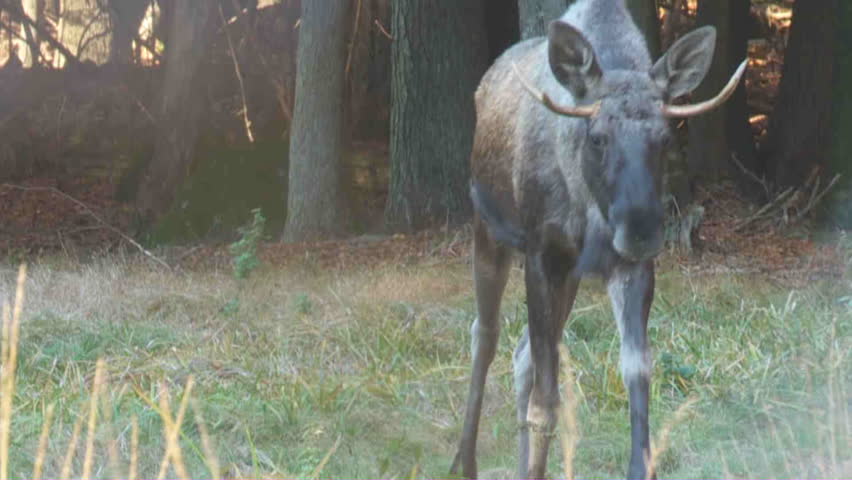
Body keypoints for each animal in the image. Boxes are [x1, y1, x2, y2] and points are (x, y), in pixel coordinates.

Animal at [449, 0, 746, 478]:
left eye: (665, 138)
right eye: (598, 137)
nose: (640, 229)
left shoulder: (629, 267)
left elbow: (636, 371)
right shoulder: (542, 255)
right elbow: (545, 402)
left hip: (569, 275)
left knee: (521, 354)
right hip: (488, 228)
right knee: (486, 334)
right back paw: (464, 460)